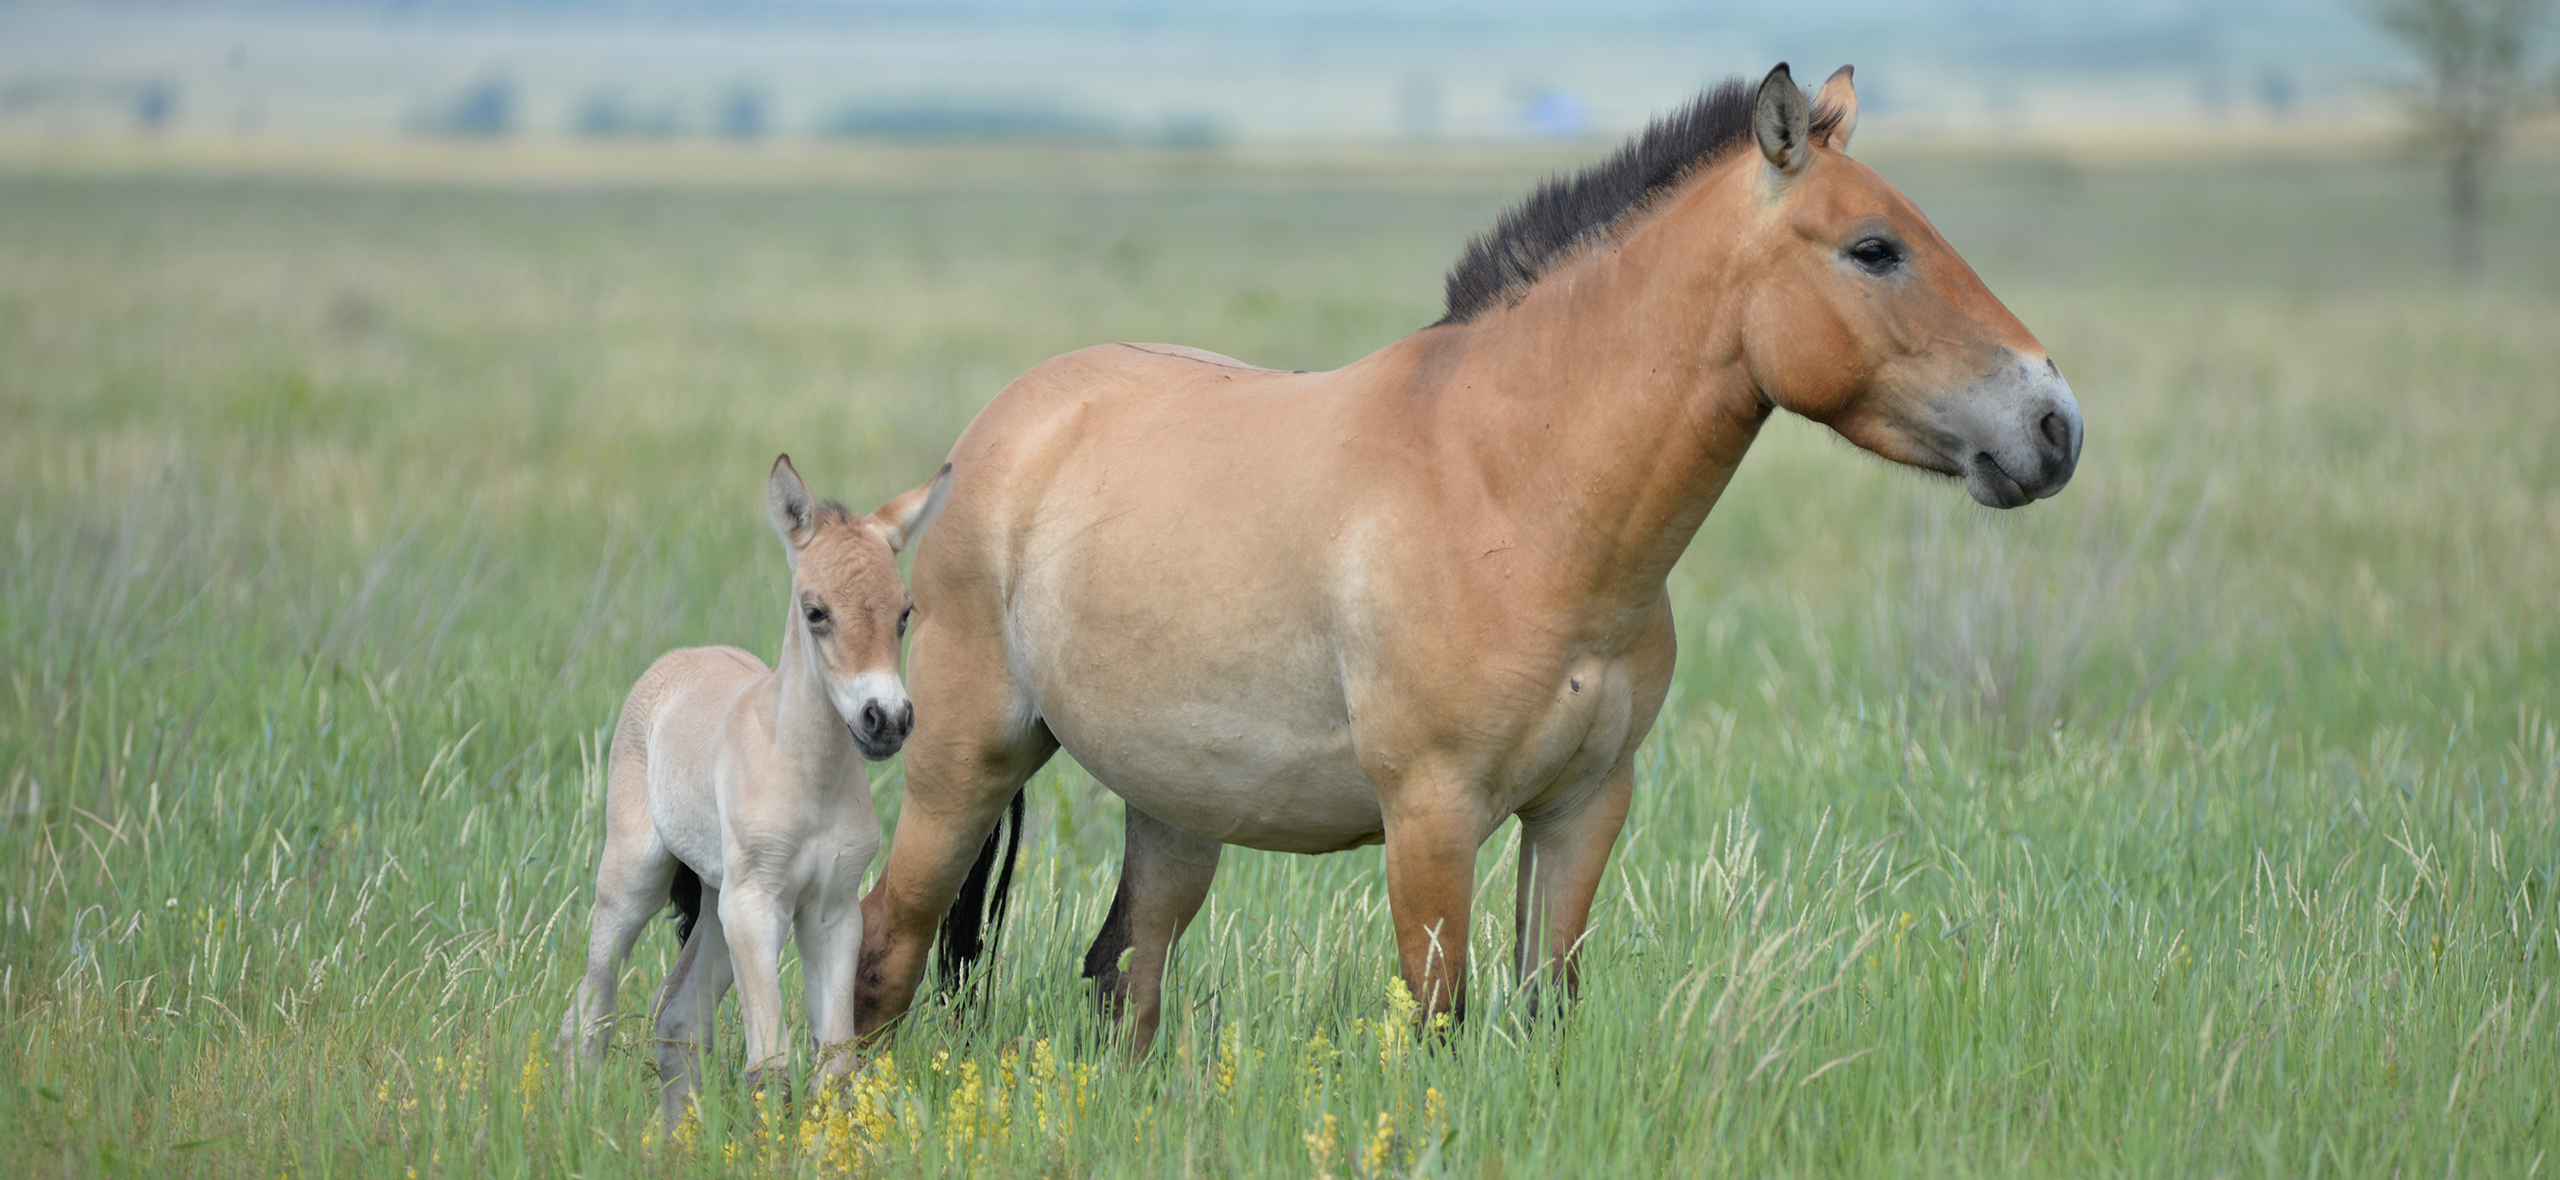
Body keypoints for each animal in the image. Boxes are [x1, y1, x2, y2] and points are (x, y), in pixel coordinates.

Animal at [560, 453, 952, 1121]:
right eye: (815, 611)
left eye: (905, 612)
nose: (887, 719)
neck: (806, 776)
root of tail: (680, 659)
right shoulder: (756, 905)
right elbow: (769, 1067)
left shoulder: (831, 912)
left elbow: (834, 1066)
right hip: (639, 878)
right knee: (592, 1002)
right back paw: (578, 1115)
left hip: (717, 900)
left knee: (678, 1012)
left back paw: (677, 1131)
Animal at [860, 64, 2078, 1044]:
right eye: (1874, 249)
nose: (2054, 424)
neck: (1512, 490)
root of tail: (996, 434)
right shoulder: (1432, 817)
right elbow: (1438, 1020)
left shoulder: (1584, 807)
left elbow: (1544, 1007)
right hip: (964, 761)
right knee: (886, 945)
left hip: (1173, 803)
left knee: (1126, 972)